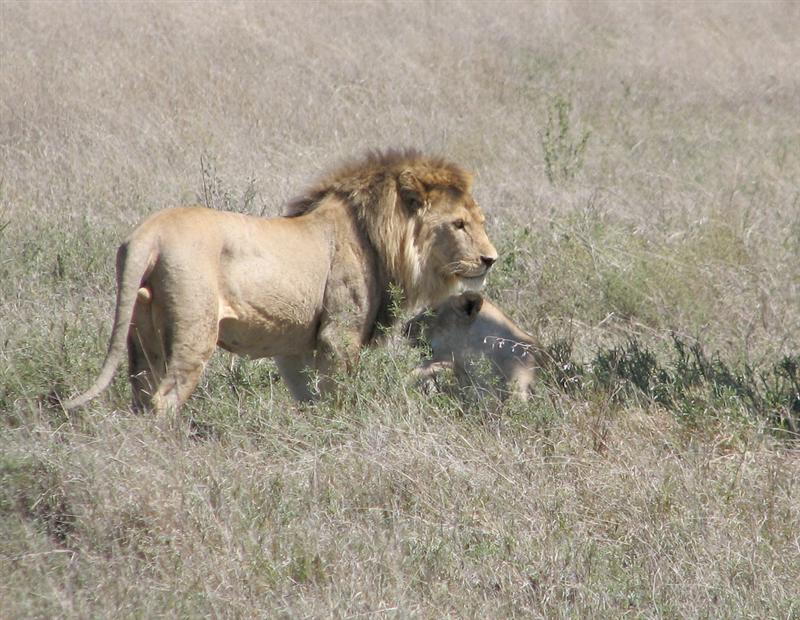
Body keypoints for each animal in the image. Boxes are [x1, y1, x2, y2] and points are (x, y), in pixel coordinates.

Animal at [61, 150, 498, 413]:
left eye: (480, 221)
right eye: (458, 224)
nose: (491, 259)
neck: (375, 235)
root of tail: (148, 232)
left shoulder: (295, 346)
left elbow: (307, 398)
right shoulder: (339, 334)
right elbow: (339, 396)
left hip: (142, 336)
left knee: (141, 394)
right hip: (193, 332)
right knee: (164, 400)